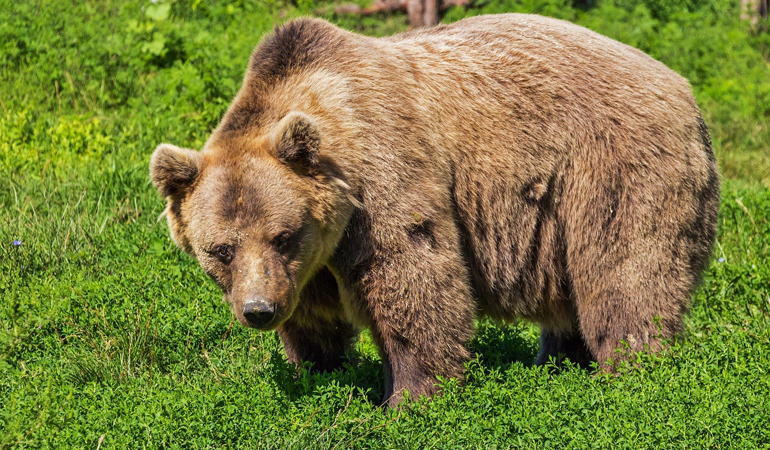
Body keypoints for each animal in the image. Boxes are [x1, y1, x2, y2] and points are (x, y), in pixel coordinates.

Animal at [150, 14, 720, 407]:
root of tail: (685, 89)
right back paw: (557, 363)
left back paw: (630, 371)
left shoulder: (383, 178)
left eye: (282, 234)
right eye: (220, 250)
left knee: (625, 274)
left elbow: (414, 279)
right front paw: (321, 371)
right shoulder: (309, 263)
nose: (258, 310)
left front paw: (409, 398)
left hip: (612, 169)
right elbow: (314, 319)